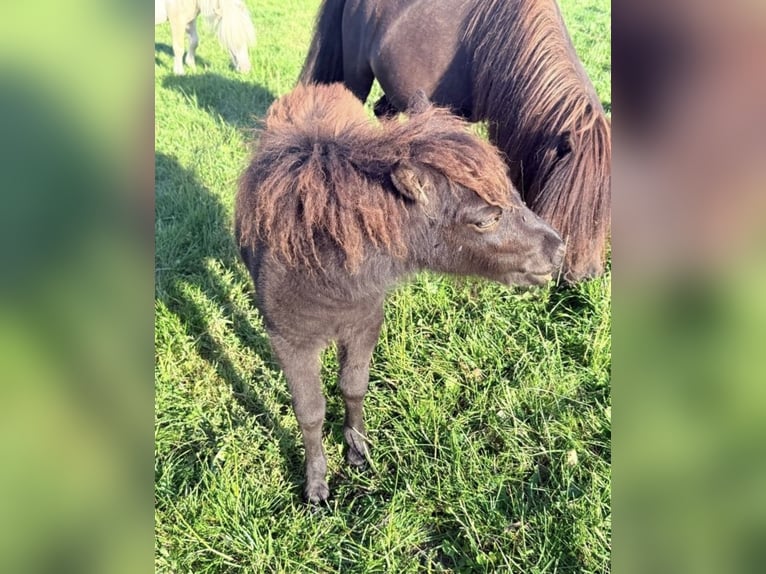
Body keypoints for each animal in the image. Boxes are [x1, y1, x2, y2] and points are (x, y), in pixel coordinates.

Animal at [235, 83, 565, 502]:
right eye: (485, 219)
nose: (558, 249)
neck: (326, 266)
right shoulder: (290, 342)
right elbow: (310, 411)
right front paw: (316, 486)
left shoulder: (364, 324)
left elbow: (353, 387)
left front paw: (358, 453)